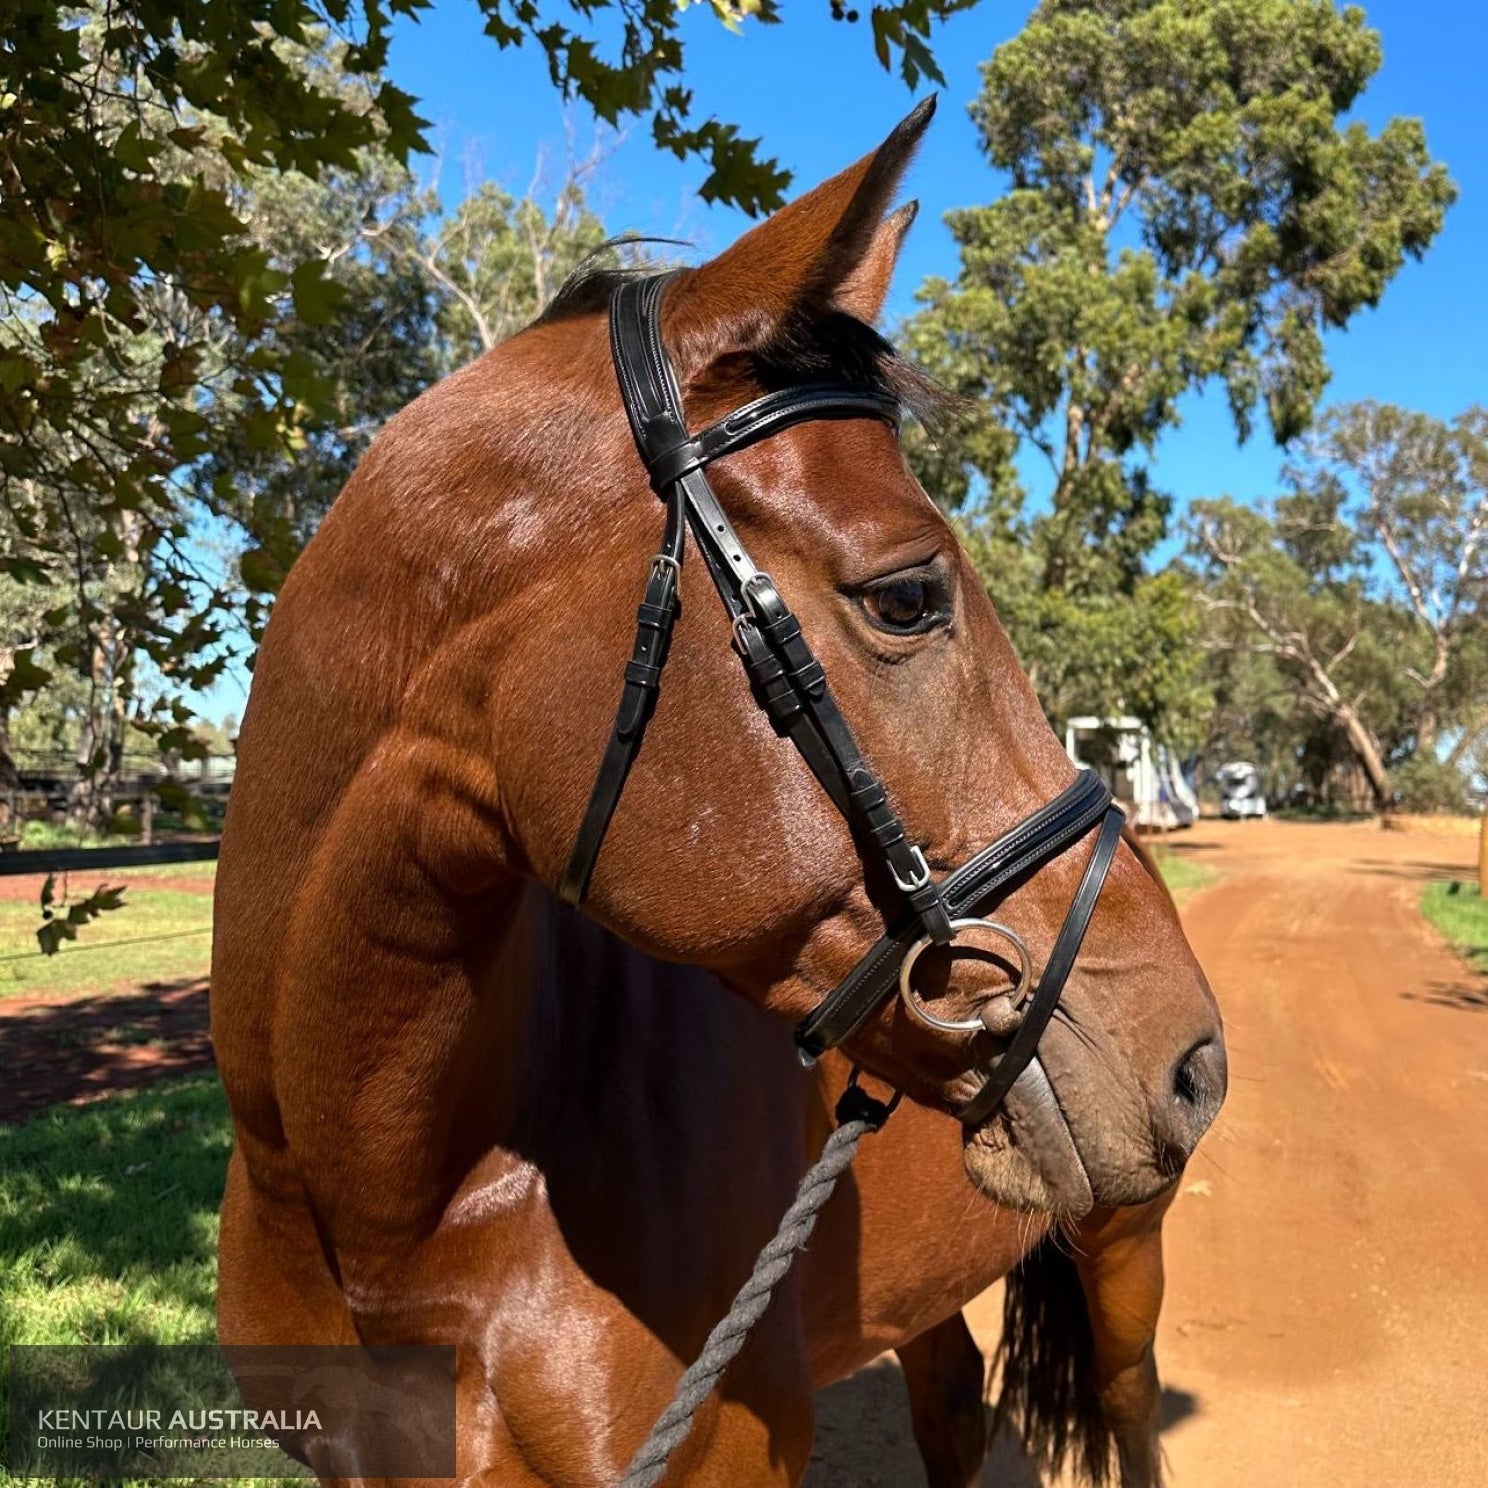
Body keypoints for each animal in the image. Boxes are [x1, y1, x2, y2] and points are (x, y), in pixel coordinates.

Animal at [212, 98, 1232, 1482]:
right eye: (907, 596)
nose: (1196, 1059)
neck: (392, 1203)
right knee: (950, 1400)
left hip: (1127, 1246)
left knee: (1128, 1404)